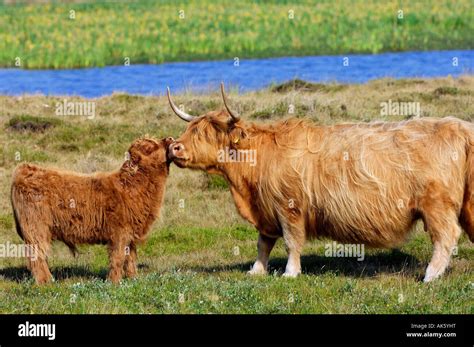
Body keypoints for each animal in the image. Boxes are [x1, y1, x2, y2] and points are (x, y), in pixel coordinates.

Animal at [11, 137, 174, 284]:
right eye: (151, 147)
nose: (169, 139)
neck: (134, 185)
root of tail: (25, 169)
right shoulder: (119, 232)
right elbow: (118, 257)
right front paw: (114, 281)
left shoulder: (131, 232)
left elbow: (131, 257)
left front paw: (133, 278)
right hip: (36, 227)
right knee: (37, 255)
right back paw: (45, 281)